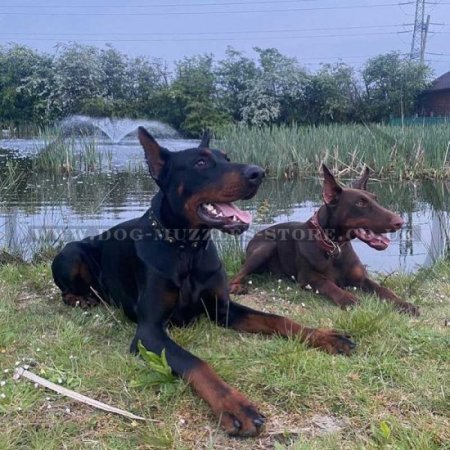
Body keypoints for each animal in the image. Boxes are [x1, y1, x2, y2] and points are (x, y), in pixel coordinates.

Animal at [51, 128, 356, 438]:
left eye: (227, 158)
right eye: (200, 163)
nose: (258, 172)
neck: (188, 249)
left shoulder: (222, 308)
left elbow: (277, 319)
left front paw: (325, 336)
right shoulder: (149, 332)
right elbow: (195, 362)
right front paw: (235, 406)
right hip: (70, 253)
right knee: (66, 288)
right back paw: (81, 299)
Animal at [230, 163, 420, 316]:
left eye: (376, 199)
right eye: (360, 203)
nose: (399, 222)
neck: (334, 247)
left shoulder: (361, 279)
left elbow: (383, 289)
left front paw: (405, 304)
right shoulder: (308, 279)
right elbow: (329, 285)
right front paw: (349, 299)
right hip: (265, 247)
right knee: (236, 275)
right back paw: (237, 286)